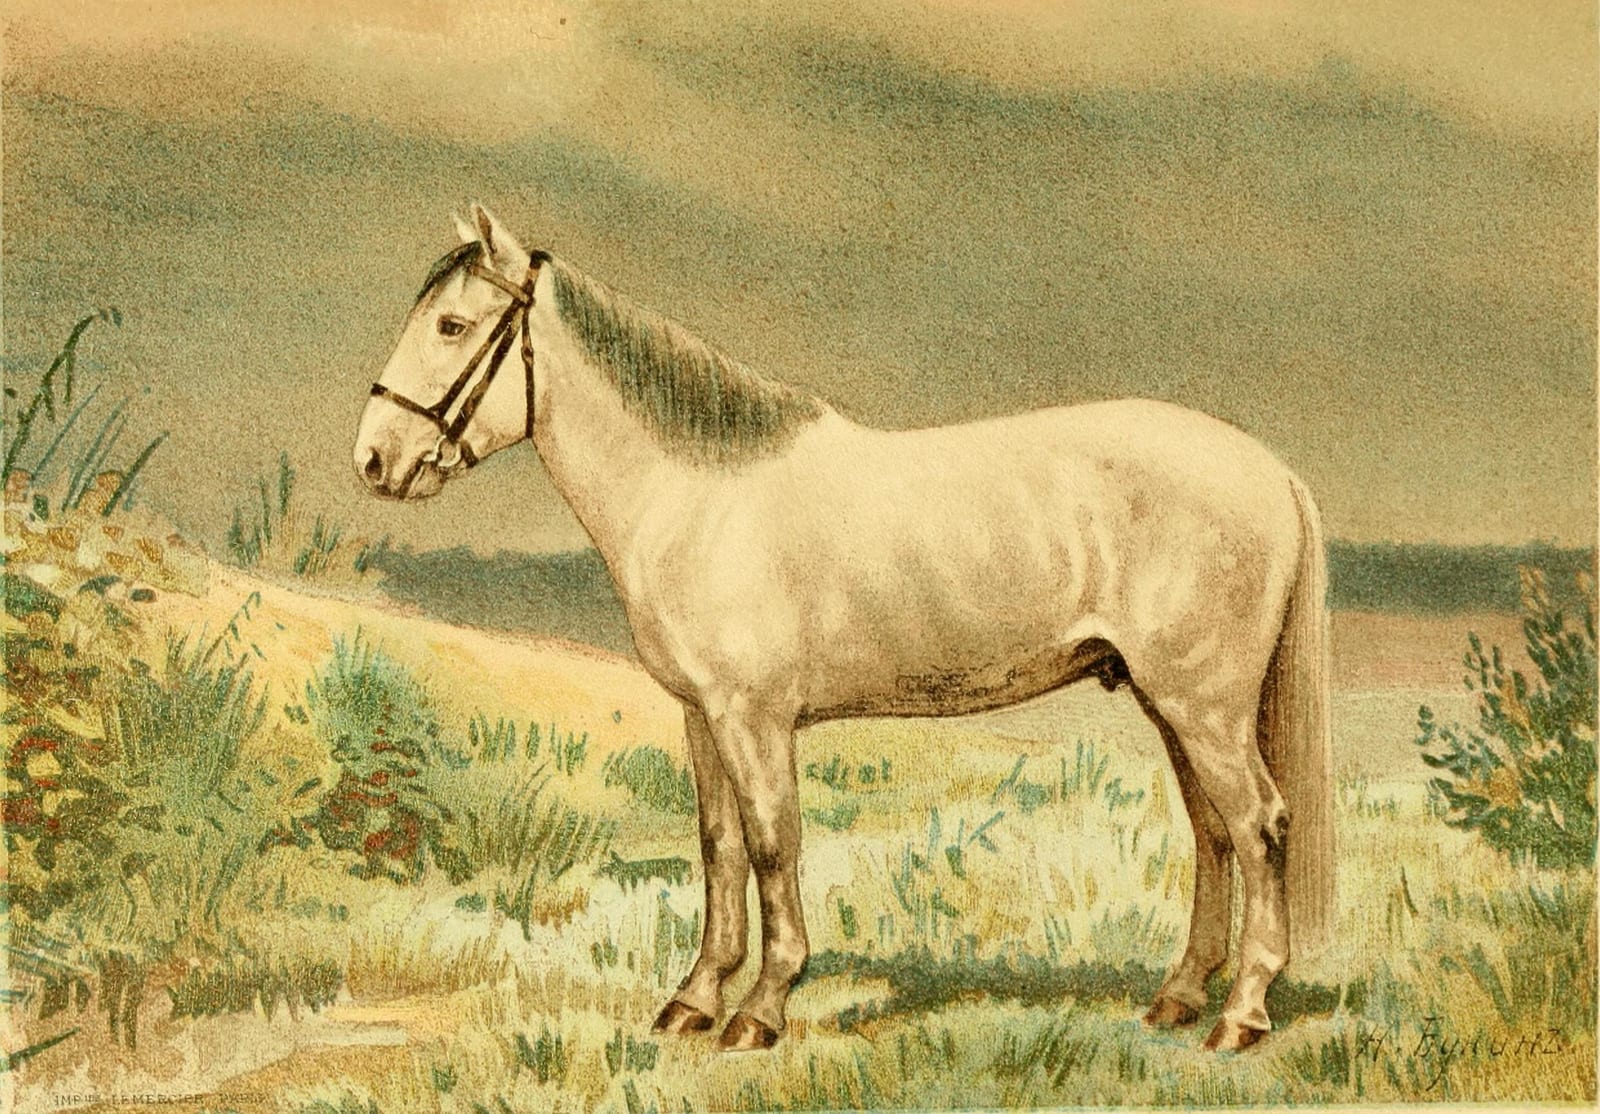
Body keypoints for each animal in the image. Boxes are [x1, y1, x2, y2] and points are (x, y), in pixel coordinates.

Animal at [352, 206, 1334, 1054]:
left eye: (451, 325)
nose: (374, 460)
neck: (700, 496)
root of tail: (1273, 472)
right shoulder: (702, 717)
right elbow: (718, 849)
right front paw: (693, 1001)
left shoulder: (753, 718)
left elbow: (772, 845)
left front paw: (761, 1009)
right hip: (1173, 706)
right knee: (1213, 833)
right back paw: (1178, 997)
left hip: (1203, 706)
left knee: (1259, 826)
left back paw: (1241, 1015)